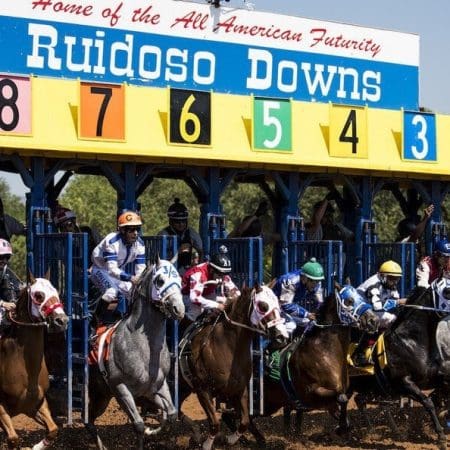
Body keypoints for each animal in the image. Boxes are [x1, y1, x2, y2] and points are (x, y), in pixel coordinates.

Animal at [0, 274, 68, 450]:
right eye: (38, 295)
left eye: (55, 291)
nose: (62, 320)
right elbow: (13, 439)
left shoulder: (35, 405)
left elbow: (53, 430)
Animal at [86, 260, 185, 450]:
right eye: (160, 280)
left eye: (180, 280)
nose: (179, 309)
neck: (145, 348)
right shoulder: (120, 387)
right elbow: (138, 424)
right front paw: (146, 430)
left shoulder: (157, 386)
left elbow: (170, 414)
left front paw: (153, 429)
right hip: (98, 393)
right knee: (88, 421)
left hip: (109, 396)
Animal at [178, 284, 286, 450]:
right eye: (263, 306)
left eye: (278, 304)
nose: (282, 336)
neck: (225, 347)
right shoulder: (203, 390)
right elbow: (215, 423)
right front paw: (208, 444)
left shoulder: (239, 389)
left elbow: (244, 421)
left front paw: (230, 439)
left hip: (184, 388)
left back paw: (195, 434)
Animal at [352, 280, 450, 448]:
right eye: (447, 291)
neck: (411, 341)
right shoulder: (404, 382)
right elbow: (428, 402)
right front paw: (441, 436)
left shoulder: (435, 377)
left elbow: (441, 393)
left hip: (373, 388)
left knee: (361, 400)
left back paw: (381, 431)